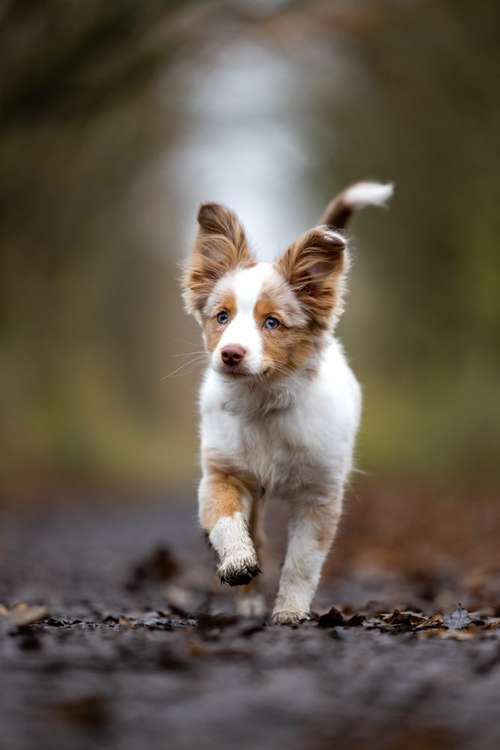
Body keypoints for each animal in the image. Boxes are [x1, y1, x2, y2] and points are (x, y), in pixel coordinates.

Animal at [182, 181, 392, 624]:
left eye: (272, 323)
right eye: (222, 317)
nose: (230, 354)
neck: (263, 403)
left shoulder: (320, 495)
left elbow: (302, 561)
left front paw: (290, 612)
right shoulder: (222, 473)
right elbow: (226, 521)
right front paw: (237, 562)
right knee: (257, 534)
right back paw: (247, 600)